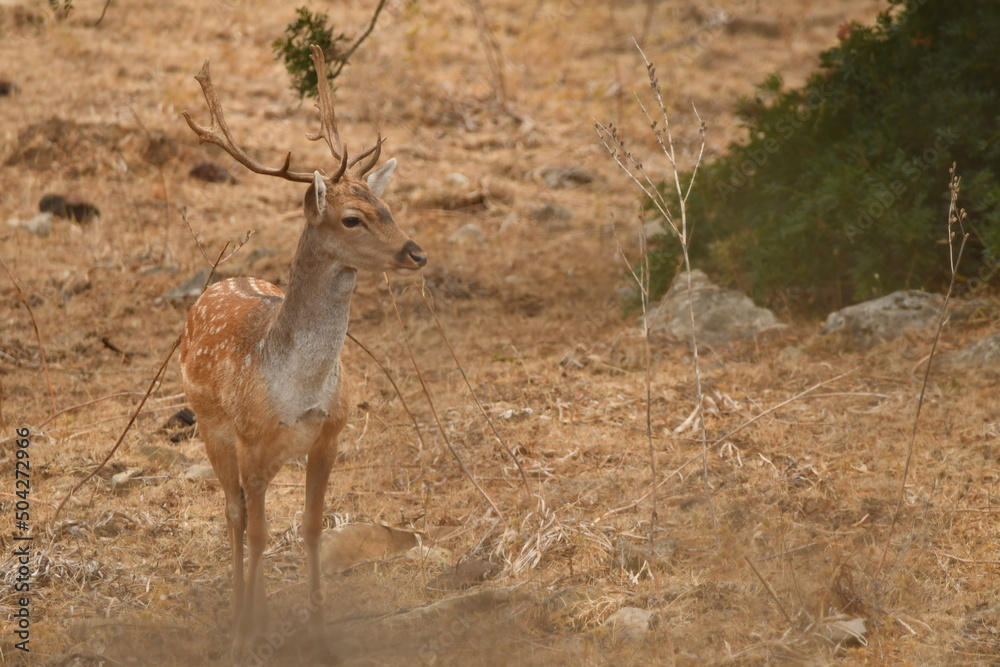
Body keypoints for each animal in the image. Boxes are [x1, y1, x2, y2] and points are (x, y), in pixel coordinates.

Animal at [178, 46, 426, 659]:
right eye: (352, 218)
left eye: (387, 205)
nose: (416, 253)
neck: (298, 388)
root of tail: (218, 284)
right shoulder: (249, 439)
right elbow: (258, 531)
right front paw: (243, 638)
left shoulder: (330, 434)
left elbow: (312, 528)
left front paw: (318, 632)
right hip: (211, 428)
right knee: (235, 514)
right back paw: (242, 616)